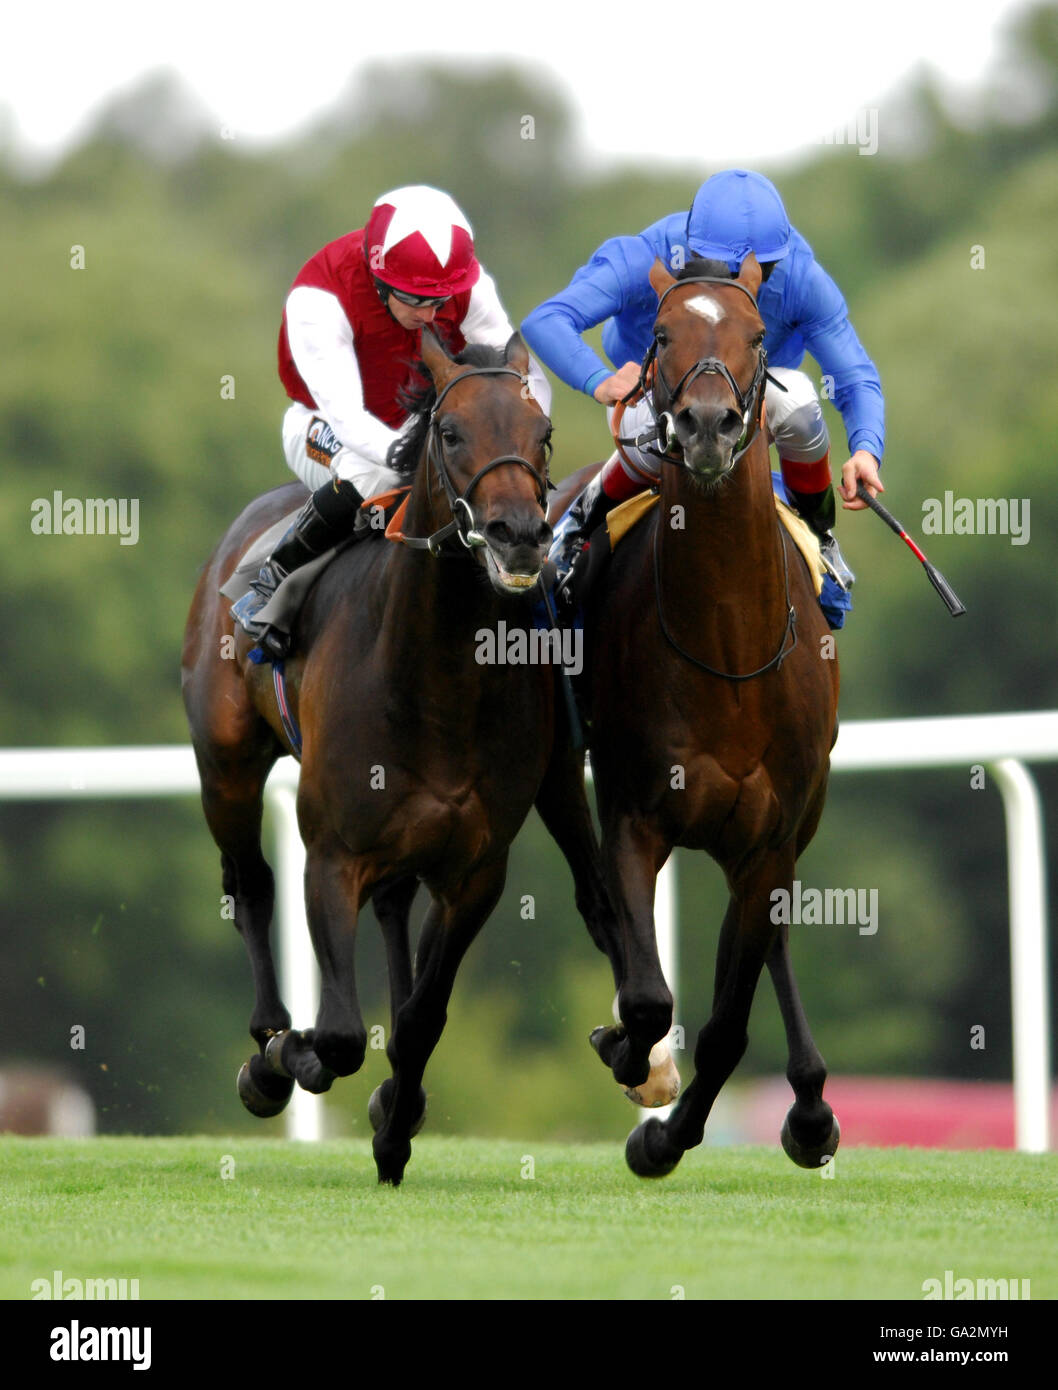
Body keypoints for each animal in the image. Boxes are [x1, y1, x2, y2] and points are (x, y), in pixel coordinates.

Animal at [182, 333, 556, 1184]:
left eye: (542, 432)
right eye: (450, 432)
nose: (518, 532)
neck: (440, 677)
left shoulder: (477, 870)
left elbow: (421, 1017)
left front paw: (395, 1124)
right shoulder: (332, 852)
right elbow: (342, 1034)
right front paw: (293, 1056)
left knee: (391, 908)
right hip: (226, 765)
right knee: (250, 885)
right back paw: (268, 1046)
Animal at [539, 252, 839, 1173]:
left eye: (759, 334)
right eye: (664, 332)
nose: (708, 423)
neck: (730, 649)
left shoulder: (771, 839)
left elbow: (727, 1026)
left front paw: (667, 1137)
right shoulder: (637, 814)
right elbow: (645, 996)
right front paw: (637, 1066)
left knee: (771, 941)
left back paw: (812, 1107)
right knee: (596, 899)